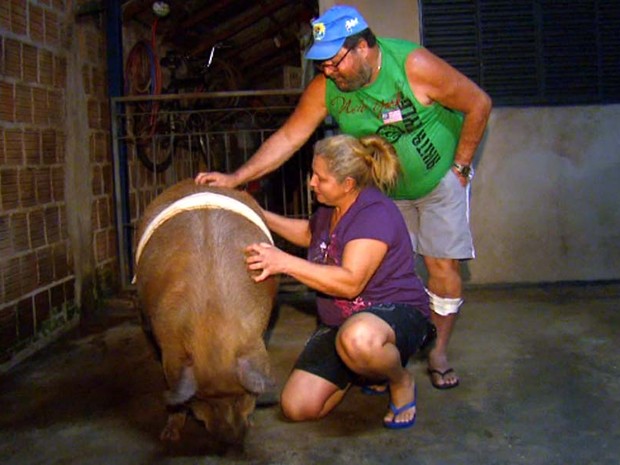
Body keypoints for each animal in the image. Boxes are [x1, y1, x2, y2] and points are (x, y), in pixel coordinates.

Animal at [134, 178, 278, 442]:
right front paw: (168, 437)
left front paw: (252, 423)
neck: (212, 324)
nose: (230, 437)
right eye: (202, 399)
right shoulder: (169, 348)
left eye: (242, 396)